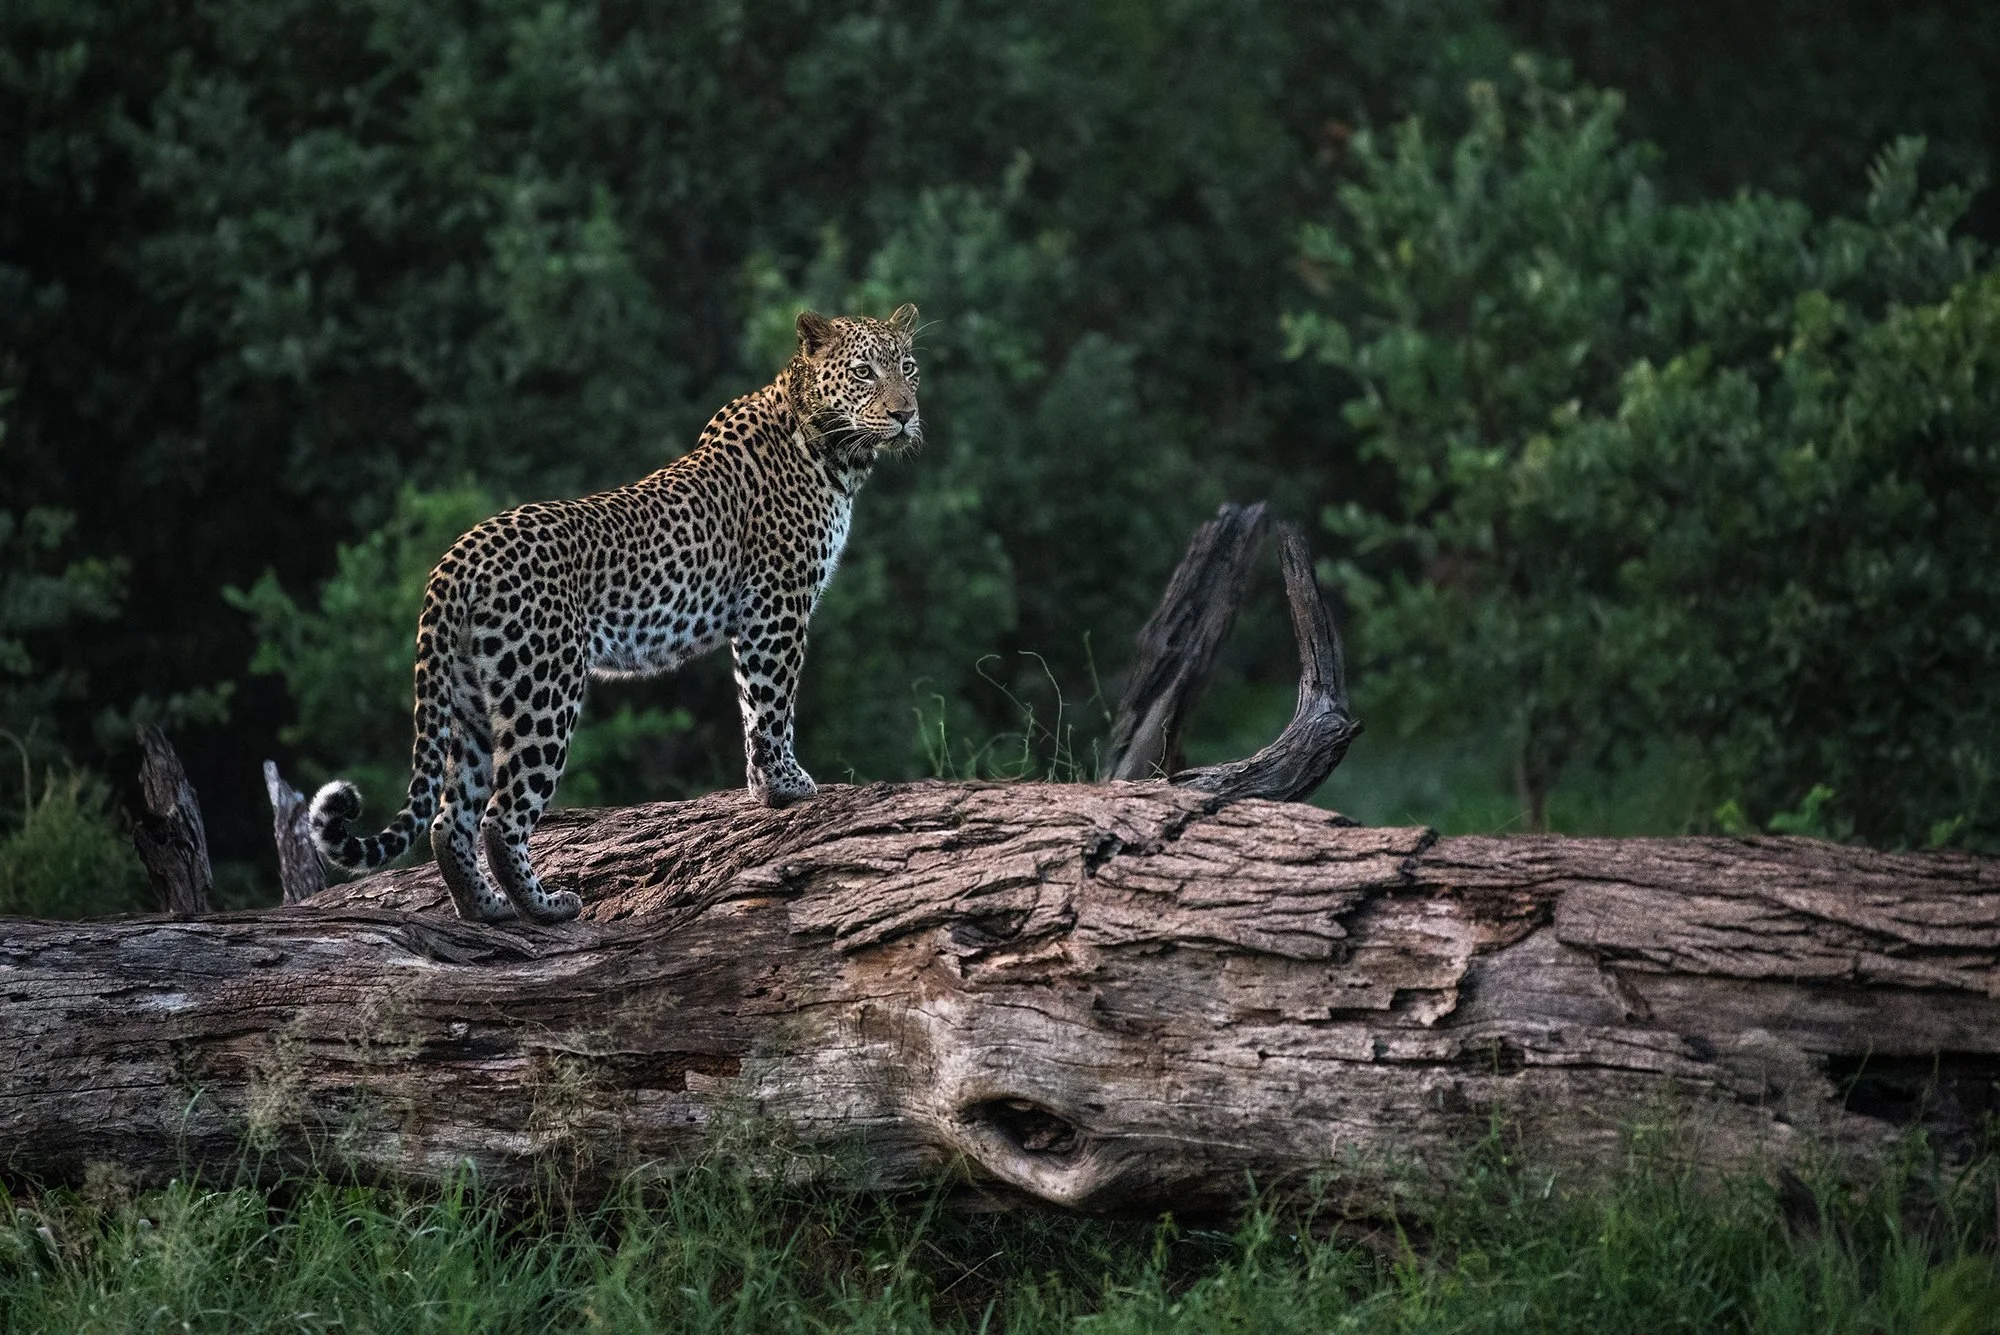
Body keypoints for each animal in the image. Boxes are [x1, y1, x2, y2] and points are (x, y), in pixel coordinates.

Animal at [309, 304, 922, 925]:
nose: (905, 414)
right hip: (543, 689)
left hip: (472, 699)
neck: (831, 449)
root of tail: (460, 554)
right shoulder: (777, 605)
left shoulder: (761, 614)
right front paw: (786, 786)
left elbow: (753, 703)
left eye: (909, 368)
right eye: (865, 372)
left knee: (448, 819)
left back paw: (484, 909)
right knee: (502, 815)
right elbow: (772, 702)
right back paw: (546, 908)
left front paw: (763, 788)